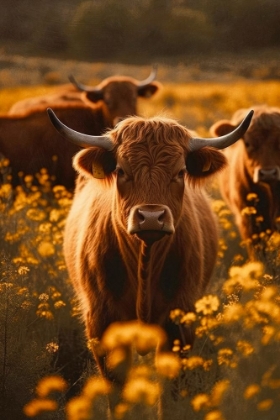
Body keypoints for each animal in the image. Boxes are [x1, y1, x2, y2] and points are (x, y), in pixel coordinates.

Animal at [47, 106, 253, 416]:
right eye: (121, 170)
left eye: (180, 172)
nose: (152, 217)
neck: (144, 261)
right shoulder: (101, 321)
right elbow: (117, 390)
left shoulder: (179, 321)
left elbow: (170, 393)